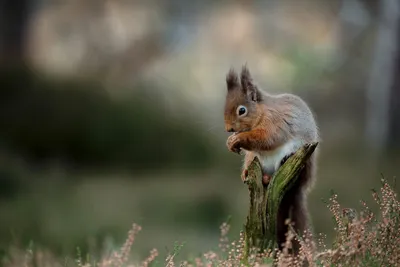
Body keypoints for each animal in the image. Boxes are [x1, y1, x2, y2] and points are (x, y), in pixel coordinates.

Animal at [223, 65, 318, 253]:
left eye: (242, 110)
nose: (229, 129)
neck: (262, 111)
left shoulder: (275, 122)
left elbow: (266, 138)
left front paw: (238, 139)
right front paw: (230, 142)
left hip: (301, 162)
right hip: (255, 159)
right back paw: (251, 174)